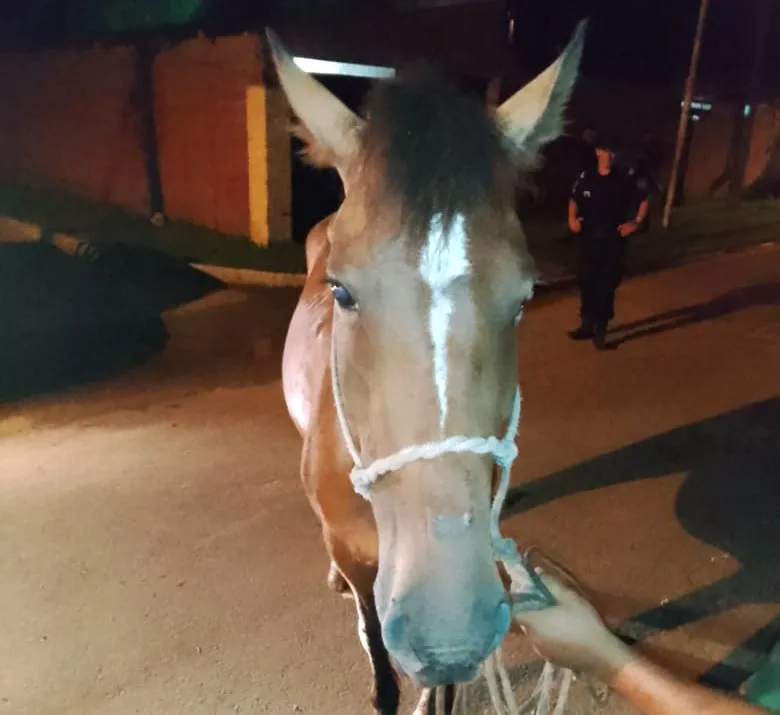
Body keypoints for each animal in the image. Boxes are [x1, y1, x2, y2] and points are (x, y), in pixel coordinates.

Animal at [272, 23, 585, 715]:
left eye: (524, 296)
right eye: (340, 290)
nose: (448, 631)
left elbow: (438, 689)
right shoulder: (358, 558)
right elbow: (376, 646)